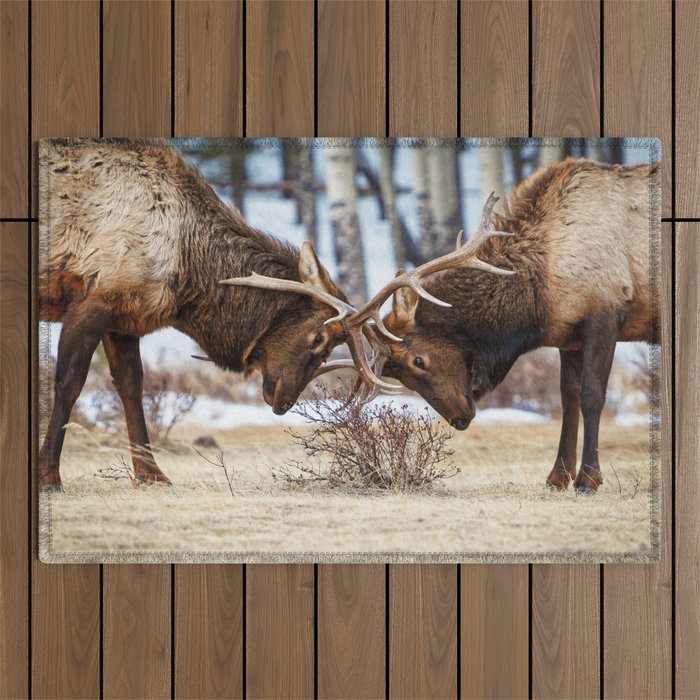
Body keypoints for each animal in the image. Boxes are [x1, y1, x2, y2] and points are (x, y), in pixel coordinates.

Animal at [38, 138, 362, 492]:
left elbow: (131, 385)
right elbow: (69, 382)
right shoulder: (91, 300)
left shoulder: (123, 318)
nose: (286, 402)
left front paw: (152, 474)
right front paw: (49, 476)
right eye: (319, 337)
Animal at [241, 157, 658, 494]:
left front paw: (588, 479)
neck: (537, 295)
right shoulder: (568, 335)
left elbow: (591, 395)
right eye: (401, 376)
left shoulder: (604, 314)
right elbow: (567, 397)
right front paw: (557, 477)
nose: (461, 417)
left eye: (418, 360)